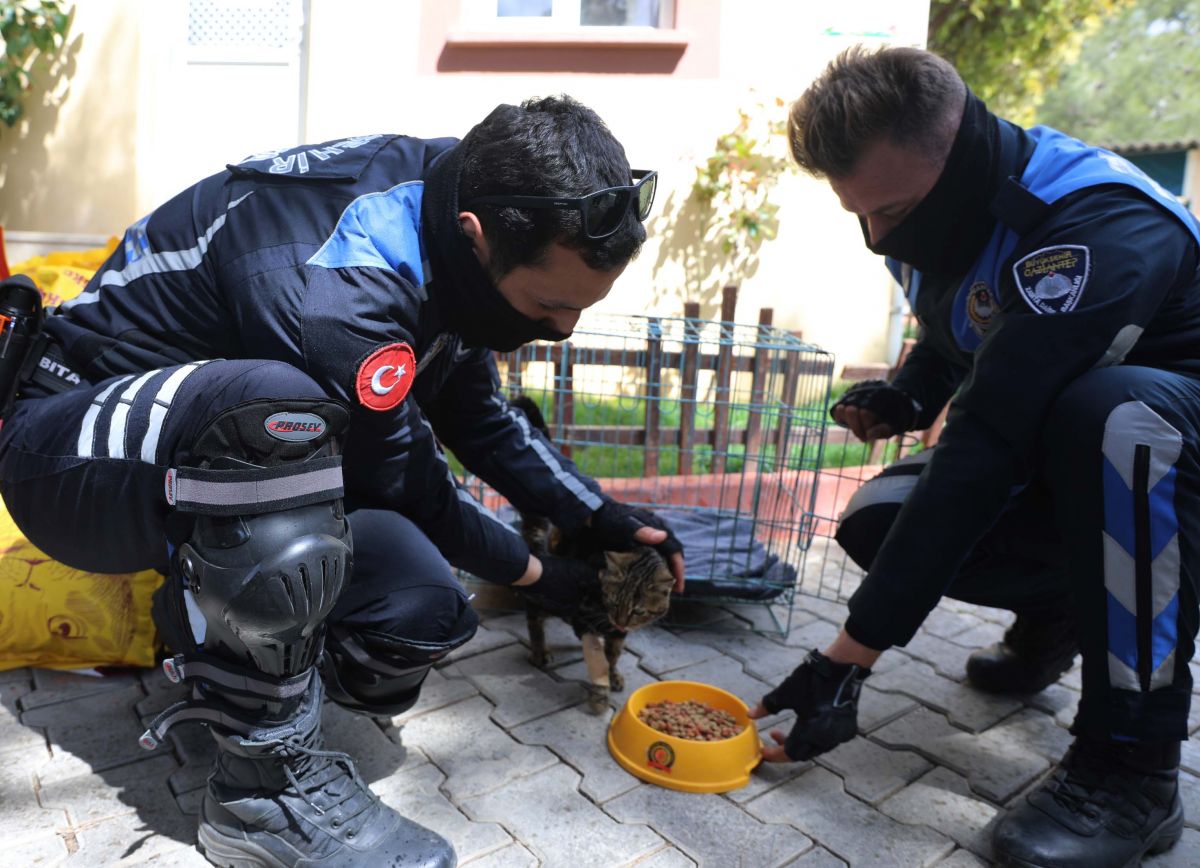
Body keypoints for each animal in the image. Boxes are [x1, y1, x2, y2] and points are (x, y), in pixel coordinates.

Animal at [508, 396, 676, 715]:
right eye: (613, 600)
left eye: (638, 611)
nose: (620, 621)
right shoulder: (585, 612)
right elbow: (598, 651)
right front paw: (601, 684)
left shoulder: (618, 631)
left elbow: (614, 652)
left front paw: (613, 674)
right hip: (544, 591)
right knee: (534, 617)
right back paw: (540, 651)